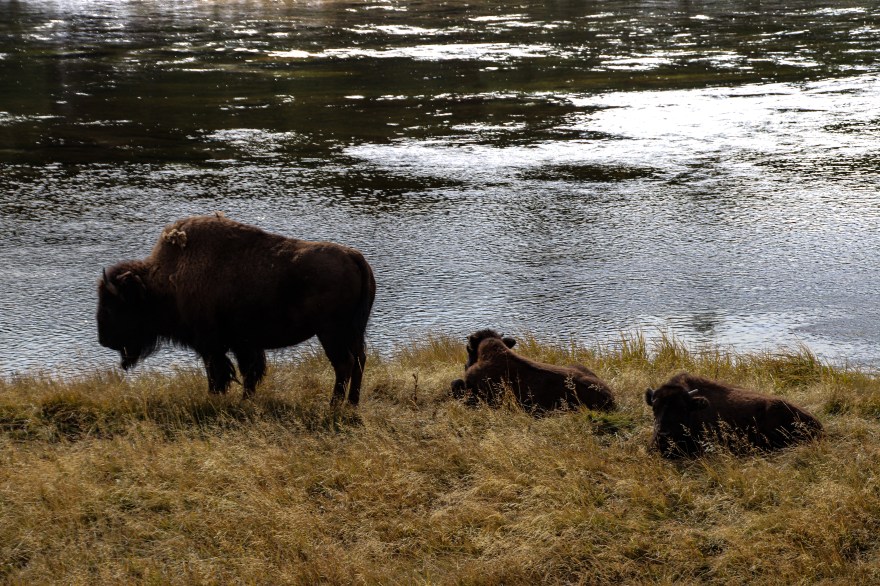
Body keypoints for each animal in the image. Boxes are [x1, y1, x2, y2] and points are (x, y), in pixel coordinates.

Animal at [96, 214, 376, 404]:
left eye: (111, 307)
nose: (103, 340)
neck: (168, 278)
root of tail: (353, 256)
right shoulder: (244, 343)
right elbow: (250, 372)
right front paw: (245, 400)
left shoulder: (211, 345)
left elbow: (219, 373)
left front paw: (215, 398)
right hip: (353, 331)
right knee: (359, 360)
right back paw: (351, 404)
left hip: (331, 333)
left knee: (344, 364)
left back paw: (334, 405)